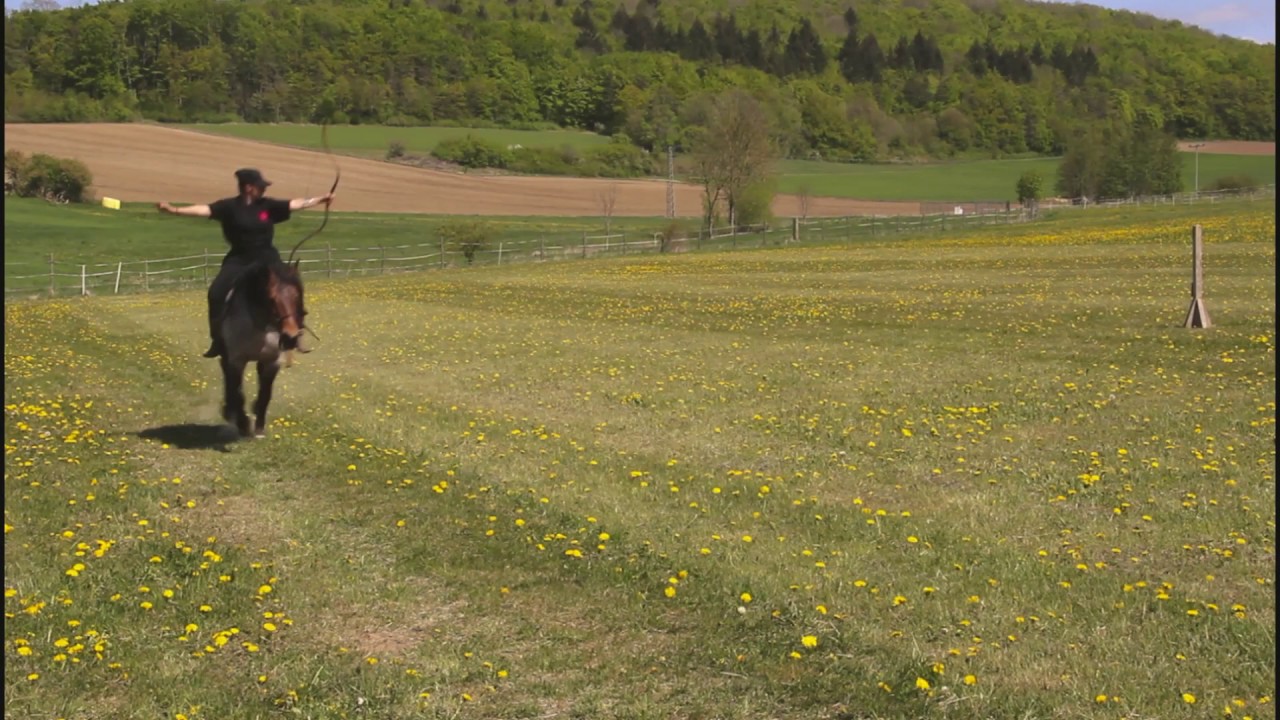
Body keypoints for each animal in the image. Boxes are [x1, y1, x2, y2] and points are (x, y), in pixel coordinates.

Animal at [216, 260, 309, 439]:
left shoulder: (272, 361)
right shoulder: (237, 361)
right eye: (272, 299)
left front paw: (259, 428)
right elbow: (238, 393)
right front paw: (243, 424)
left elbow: (265, 393)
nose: (290, 337)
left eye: (296, 296)